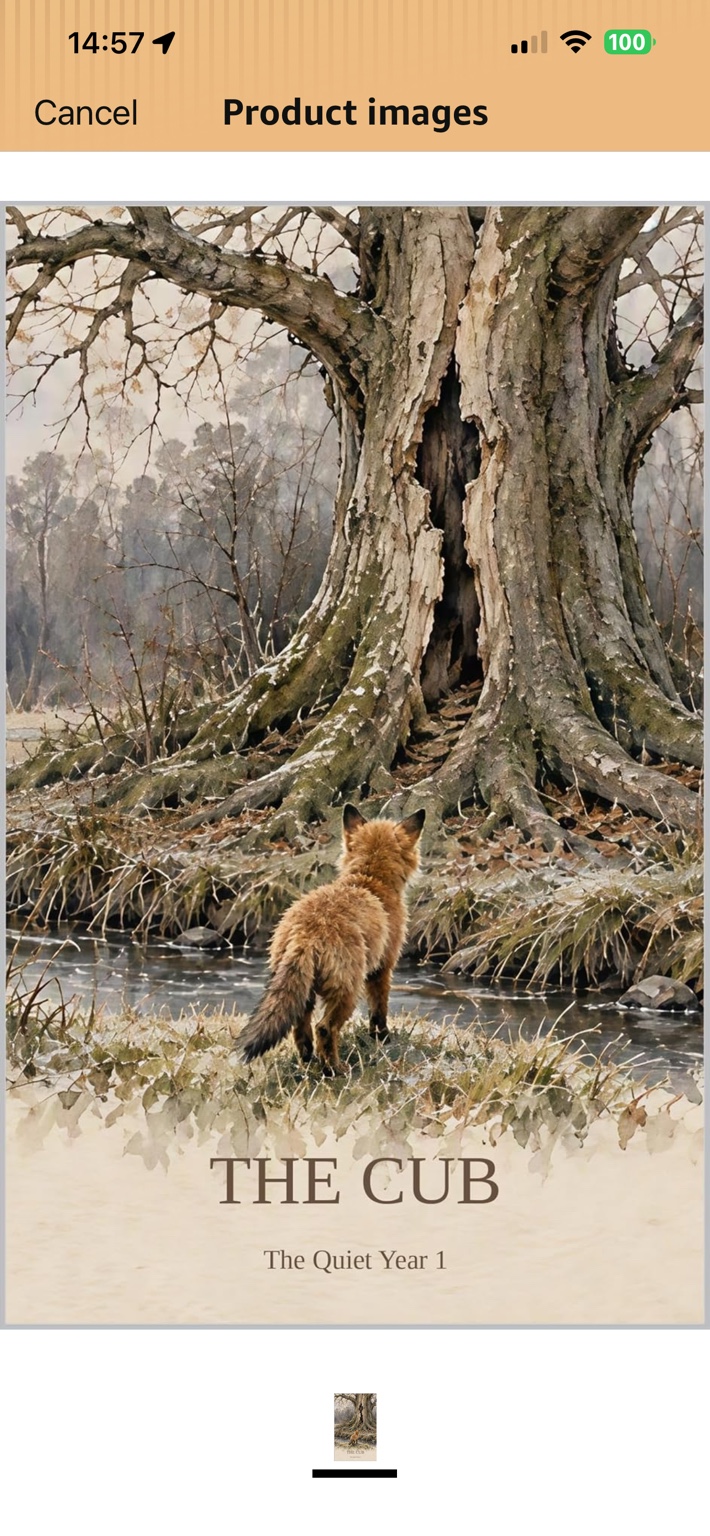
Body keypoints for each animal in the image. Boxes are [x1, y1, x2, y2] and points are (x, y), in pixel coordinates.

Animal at [236, 803, 425, 1075]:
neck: (369, 881)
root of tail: (307, 932)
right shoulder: (382, 968)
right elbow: (379, 1011)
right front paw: (382, 1038)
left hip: (302, 991)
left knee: (301, 1030)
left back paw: (309, 1063)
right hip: (347, 990)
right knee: (324, 1028)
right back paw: (334, 1069)